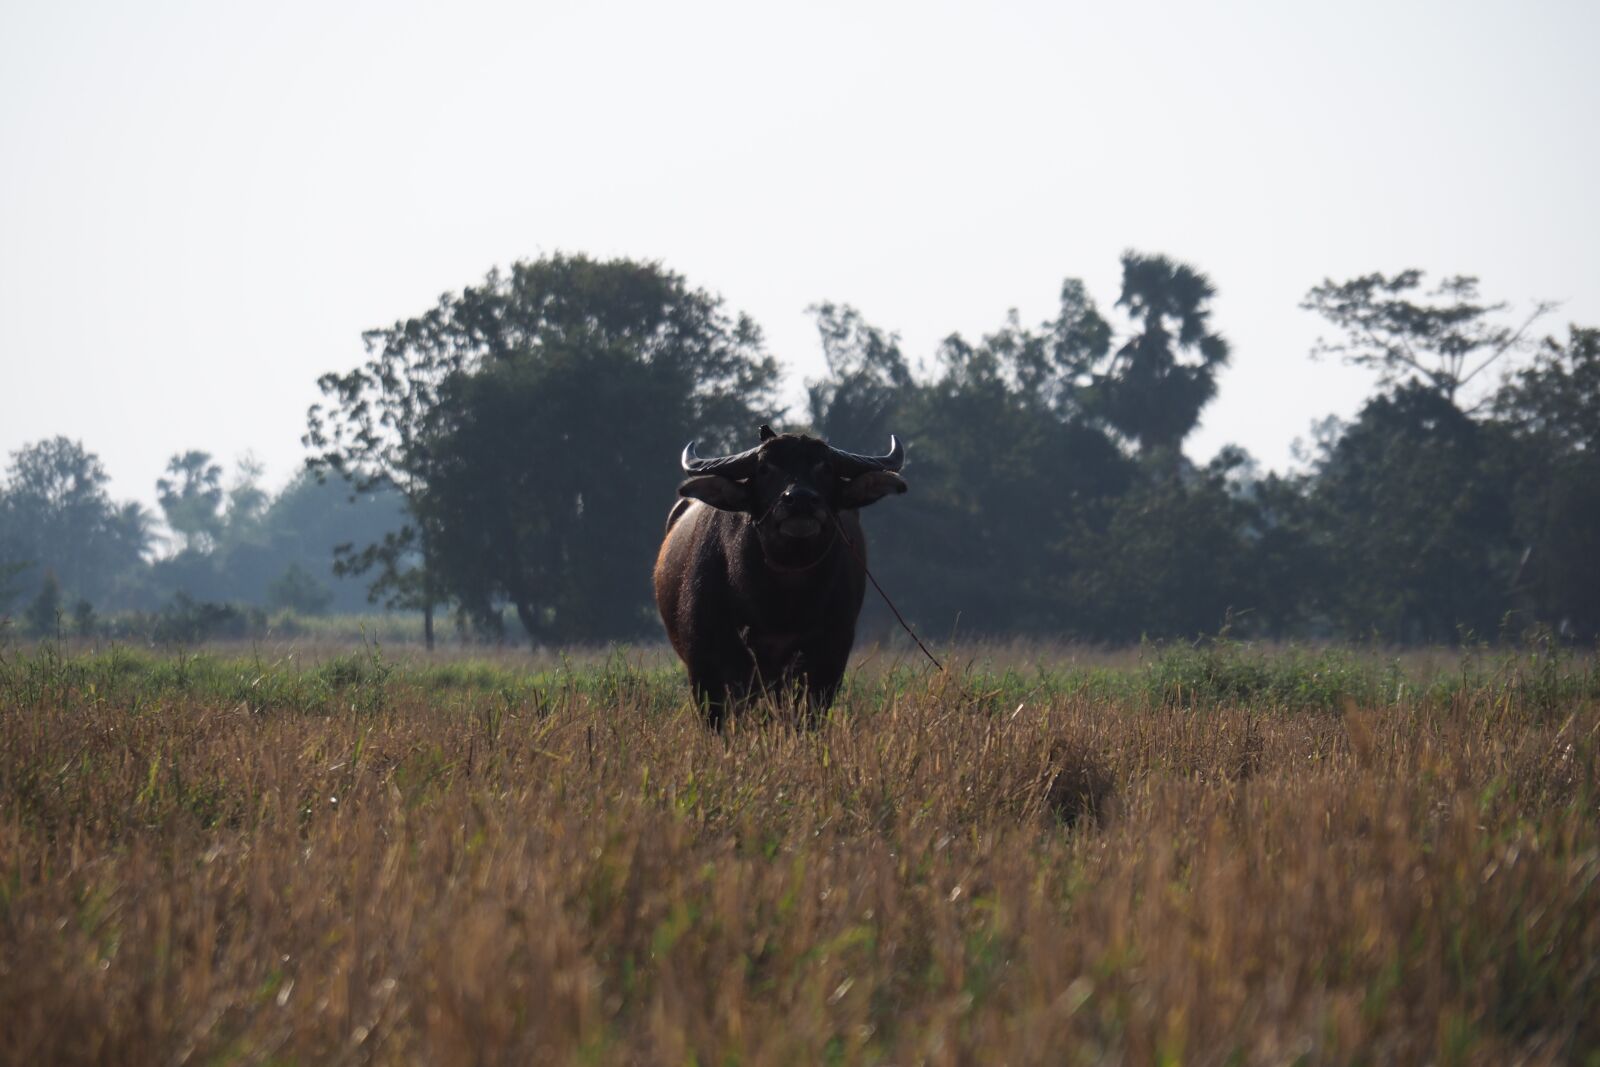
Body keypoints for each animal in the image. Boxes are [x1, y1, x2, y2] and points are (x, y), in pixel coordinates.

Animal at [653, 426, 907, 726]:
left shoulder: (828, 658)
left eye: (825, 467)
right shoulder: (706, 664)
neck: (780, 603)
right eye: (764, 468)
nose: (801, 499)